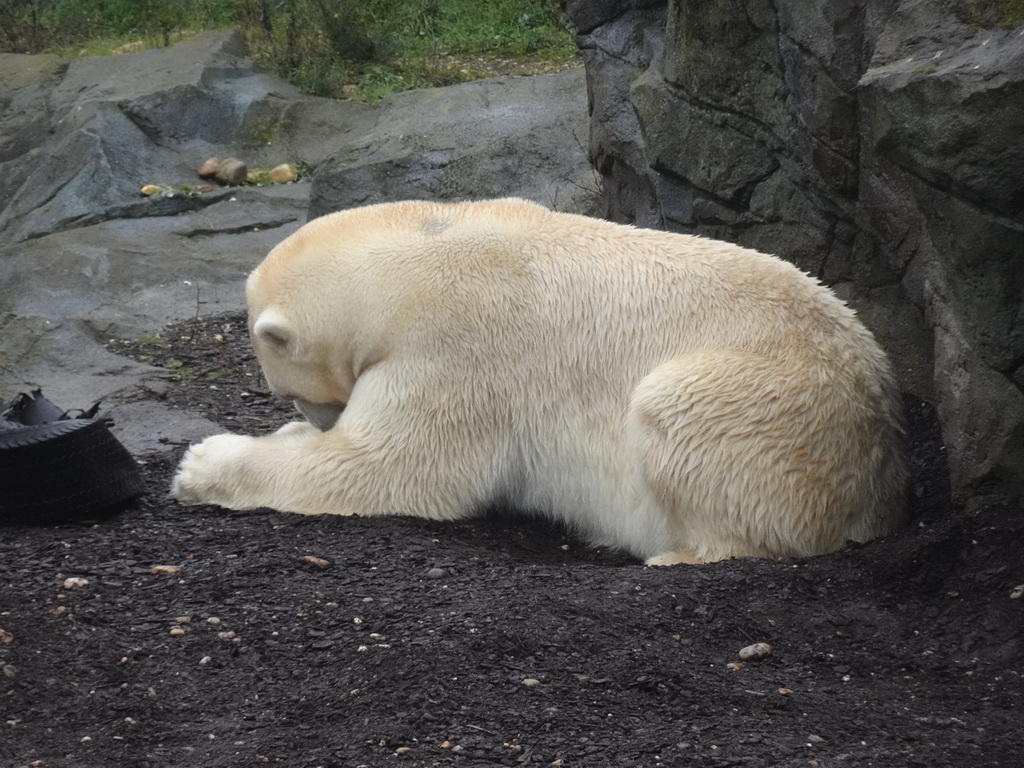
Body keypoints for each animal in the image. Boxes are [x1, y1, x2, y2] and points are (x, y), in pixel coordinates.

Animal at [172, 198, 909, 565]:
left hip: (770, 410)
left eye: (288, 388)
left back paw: (670, 554)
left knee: (679, 414)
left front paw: (201, 465)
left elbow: (392, 466)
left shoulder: (456, 348)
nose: (318, 418)